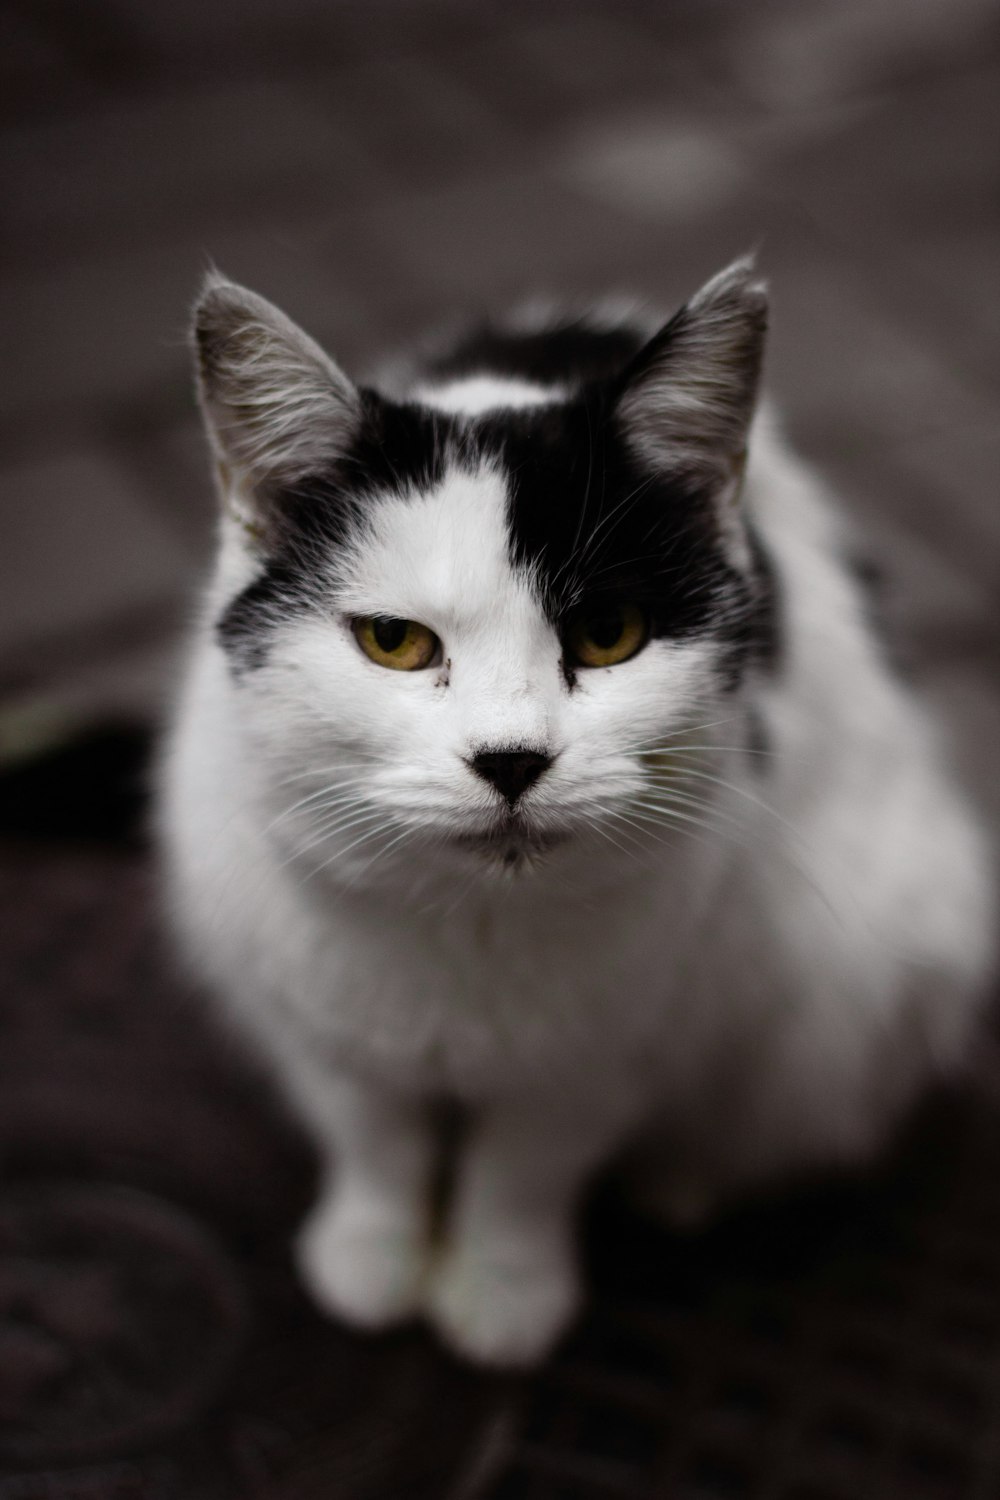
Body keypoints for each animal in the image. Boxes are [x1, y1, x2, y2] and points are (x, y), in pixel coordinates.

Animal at [156, 261, 995, 1374]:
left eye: (609, 633)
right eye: (393, 642)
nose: (511, 759)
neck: (469, 928)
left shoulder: (615, 1045)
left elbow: (526, 1165)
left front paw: (504, 1294)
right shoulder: (310, 1006)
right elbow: (372, 1133)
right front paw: (371, 1256)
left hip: (865, 976)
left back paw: (682, 1183)